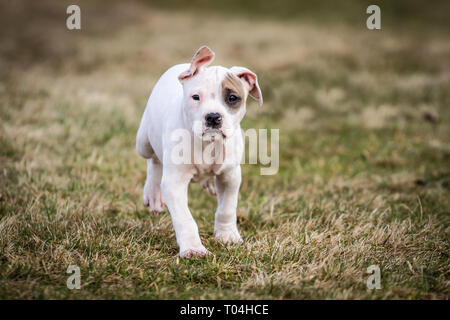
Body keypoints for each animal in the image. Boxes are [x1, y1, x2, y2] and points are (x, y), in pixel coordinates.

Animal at [137, 45, 264, 258]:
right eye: (196, 97)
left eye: (232, 98)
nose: (213, 117)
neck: (208, 144)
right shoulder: (174, 183)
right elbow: (185, 219)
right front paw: (193, 249)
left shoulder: (230, 176)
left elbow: (227, 208)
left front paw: (227, 235)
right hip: (144, 142)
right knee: (154, 160)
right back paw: (153, 194)